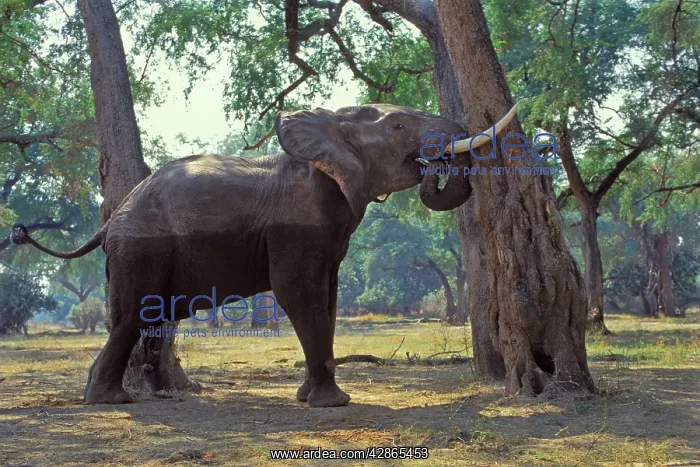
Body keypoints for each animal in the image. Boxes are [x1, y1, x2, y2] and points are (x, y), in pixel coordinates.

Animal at [10, 103, 517, 407]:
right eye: (397, 127)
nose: (437, 163)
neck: (333, 127)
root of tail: (112, 220)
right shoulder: (297, 224)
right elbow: (299, 293)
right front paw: (331, 404)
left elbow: (328, 297)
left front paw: (311, 397)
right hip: (141, 247)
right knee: (131, 315)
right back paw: (110, 401)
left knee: (140, 317)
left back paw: (123, 396)